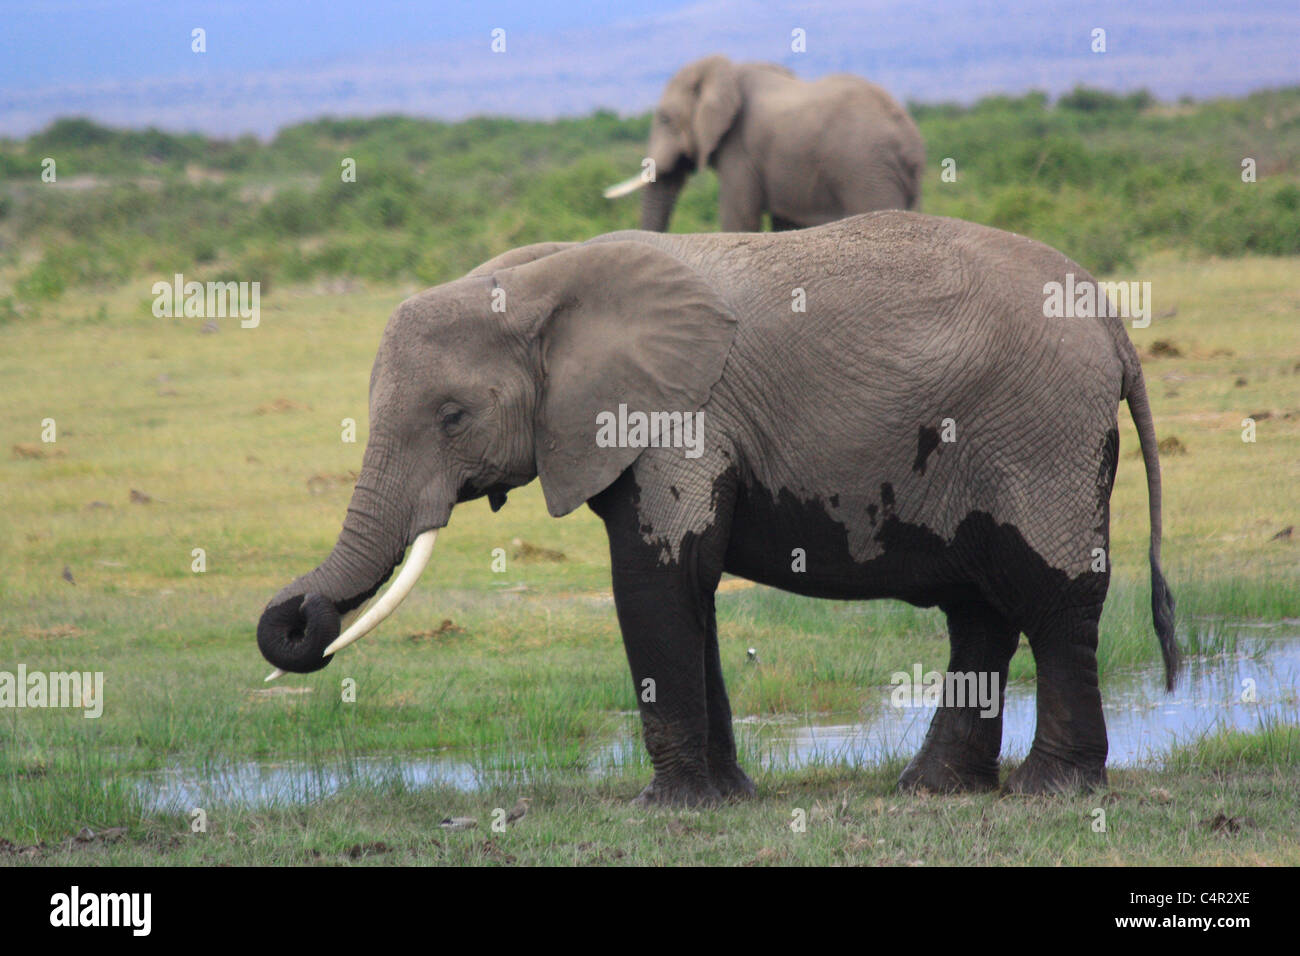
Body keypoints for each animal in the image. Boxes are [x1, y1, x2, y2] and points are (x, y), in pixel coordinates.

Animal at [253, 210, 1180, 806]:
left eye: (451, 417)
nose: (297, 621)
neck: (540, 279)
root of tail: (1111, 321)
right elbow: (687, 591)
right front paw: (727, 799)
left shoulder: (679, 415)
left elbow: (656, 582)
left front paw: (666, 810)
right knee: (979, 610)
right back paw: (934, 791)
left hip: (1040, 431)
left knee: (1056, 602)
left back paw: (1050, 791)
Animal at [603, 55, 930, 231]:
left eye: (665, 119)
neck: (727, 70)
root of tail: (911, 140)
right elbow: (786, 223)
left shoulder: (741, 149)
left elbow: (740, 218)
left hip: (866, 171)